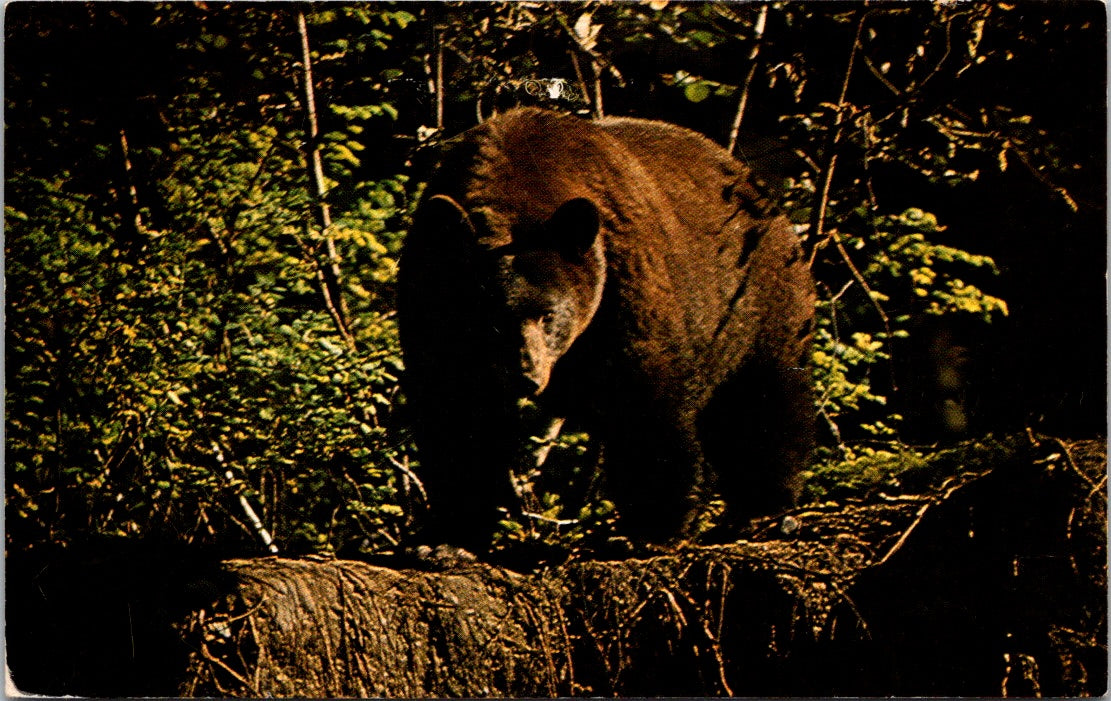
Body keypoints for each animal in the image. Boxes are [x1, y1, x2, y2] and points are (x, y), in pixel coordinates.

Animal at [399, 107, 817, 553]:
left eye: (549, 315)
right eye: (489, 319)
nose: (526, 376)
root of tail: (759, 190)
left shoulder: (622, 284)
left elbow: (644, 401)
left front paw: (656, 524)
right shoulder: (431, 301)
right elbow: (455, 412)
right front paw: (450, 533)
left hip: (756, 303)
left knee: (765, 400)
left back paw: (763, 508)